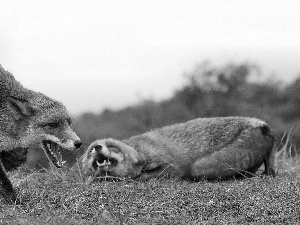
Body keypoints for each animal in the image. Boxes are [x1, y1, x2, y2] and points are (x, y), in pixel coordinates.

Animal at [78, 117, 276, 180]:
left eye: (111, 146)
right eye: (91, 151)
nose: (97, 147)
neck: (140, 152)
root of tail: (262, 125)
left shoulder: (172, 166)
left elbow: (150, 175)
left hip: (200, 168)